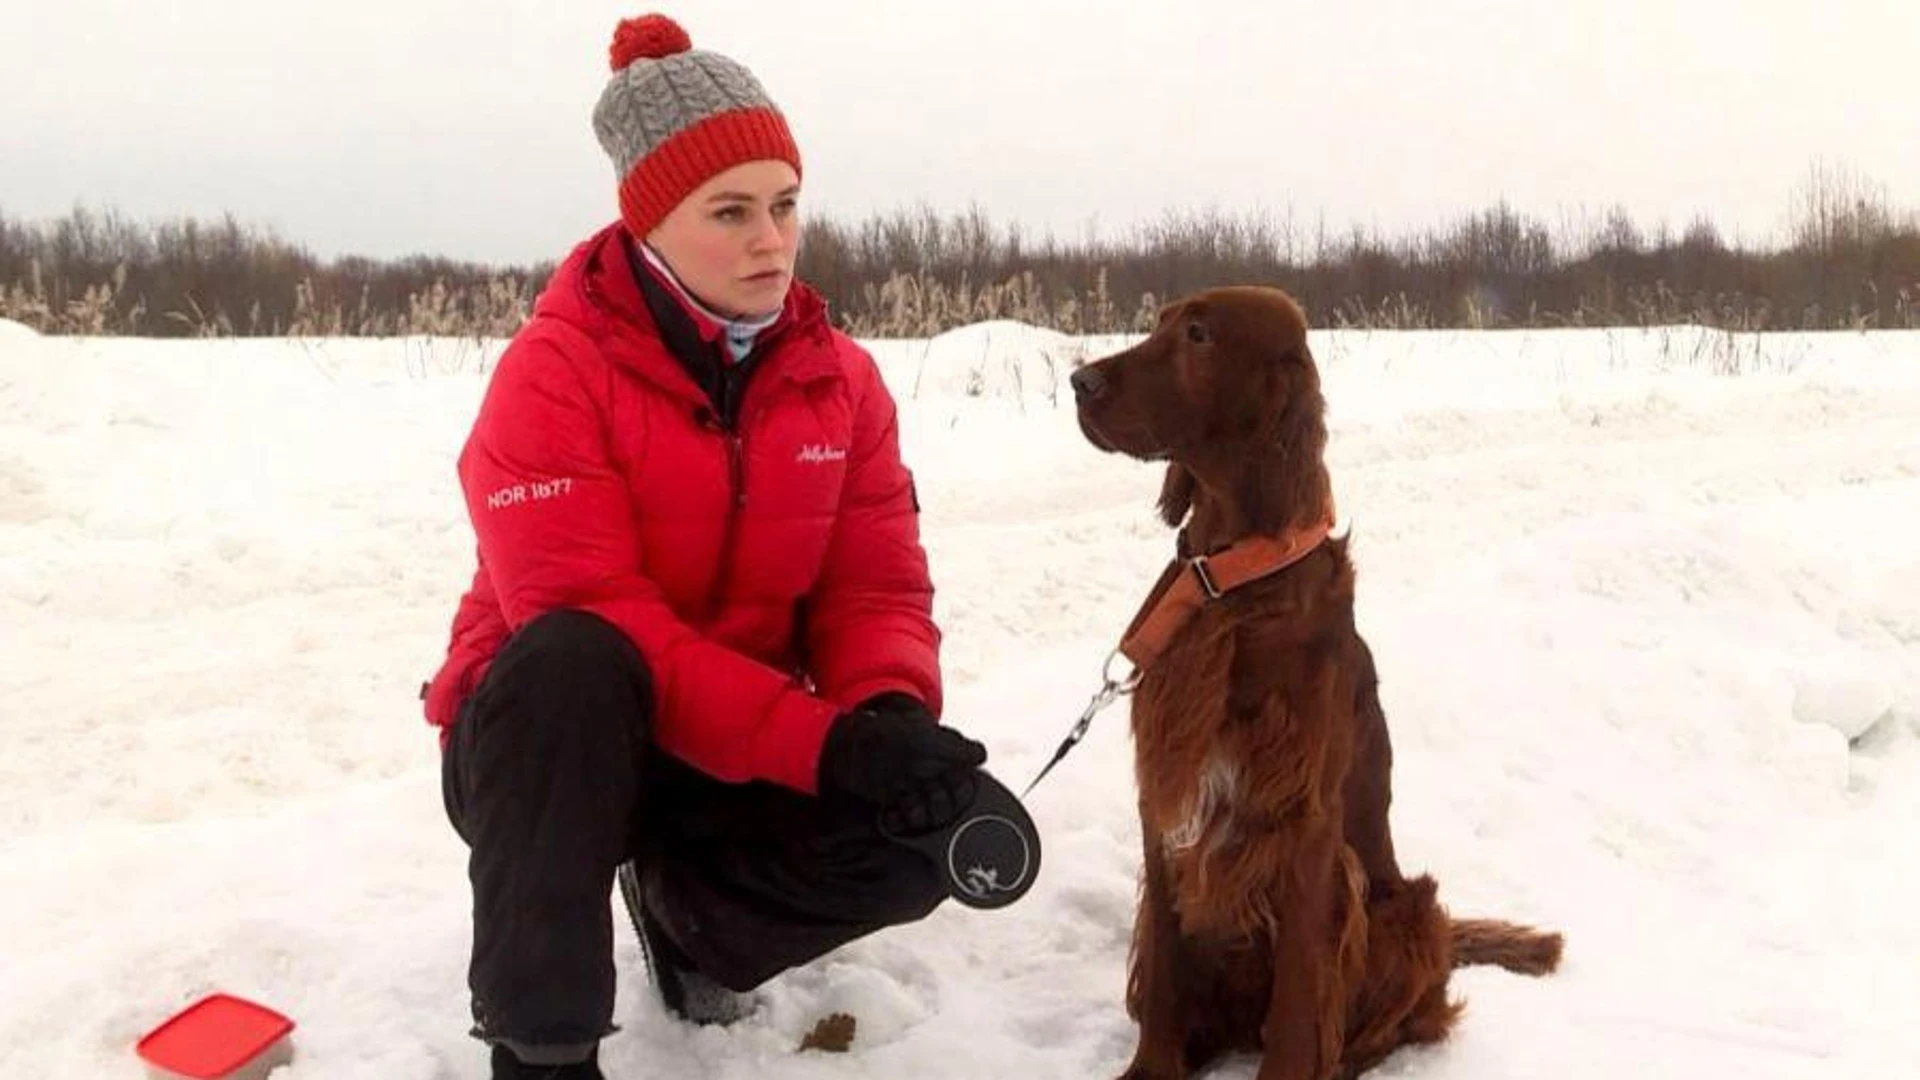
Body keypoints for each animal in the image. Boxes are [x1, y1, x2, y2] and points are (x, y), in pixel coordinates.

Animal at [1075, 286, 1551, 1076]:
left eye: (1199, 334)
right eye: (1161, 321)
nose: (1078, 382)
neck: (1227, 584)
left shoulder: (1303, 822)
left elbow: (1300, 994)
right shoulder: (1167, 803)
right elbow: (1167, 978)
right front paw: (1152, 1069)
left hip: (1409, 909)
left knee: (1408, 1015)